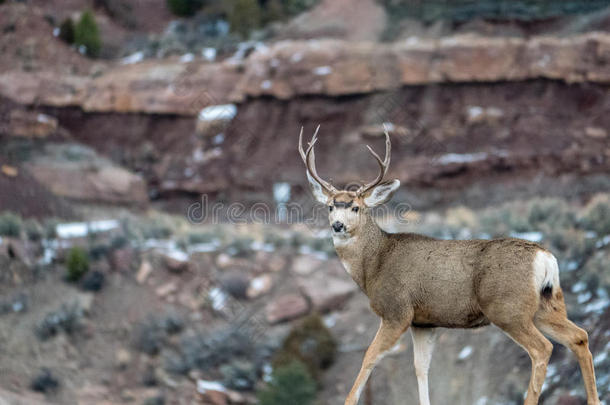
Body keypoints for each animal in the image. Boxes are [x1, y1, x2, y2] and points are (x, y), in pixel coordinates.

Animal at [296, 126, 596, 404]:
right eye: (330, 207)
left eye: (356, 207)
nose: (338, 225)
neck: (374, 265)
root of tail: (544, 257)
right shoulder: (424, 322)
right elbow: (421, 368)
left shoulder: (397, 311)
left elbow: (369, 356)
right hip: (546, 304)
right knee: (579, 336)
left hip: (508, 308)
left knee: (542, 348)